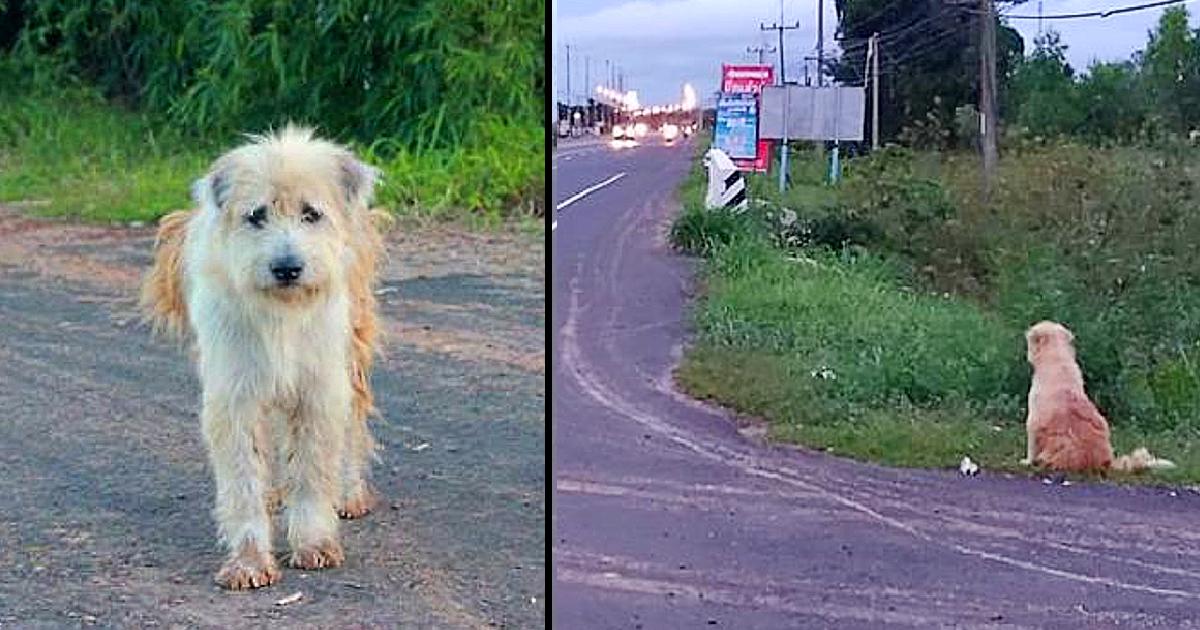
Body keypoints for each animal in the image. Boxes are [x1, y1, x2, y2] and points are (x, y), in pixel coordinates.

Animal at [139, 125, 386, 588]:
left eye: (311, 213)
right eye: (256, 215)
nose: (287, 268)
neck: (281, 312)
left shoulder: (318, 389)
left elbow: (312, 471)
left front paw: (313, 542)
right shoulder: (235, 394)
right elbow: (242, 480)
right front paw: (249, 560)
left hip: (353, 351)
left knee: (352, 426)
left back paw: (348, 493)